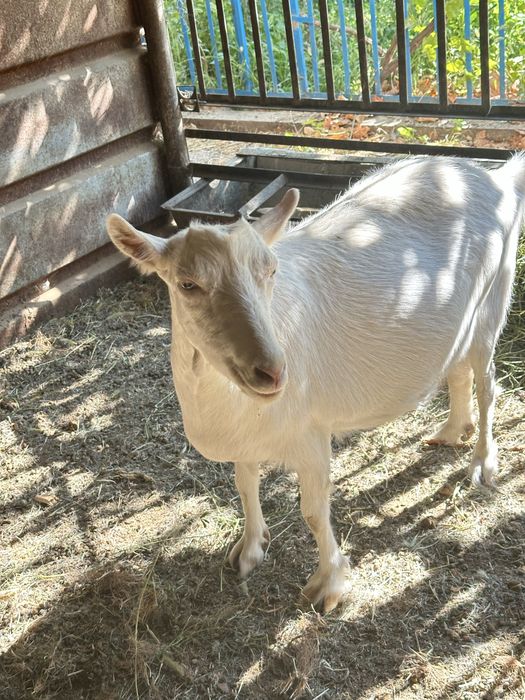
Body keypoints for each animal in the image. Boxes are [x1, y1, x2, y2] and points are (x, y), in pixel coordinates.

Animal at [107, 155, 524, 612]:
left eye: (271, 270)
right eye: (187, 284)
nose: (272, 372)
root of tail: (497, 178)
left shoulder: (310, 434)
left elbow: (312, 510)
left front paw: (329, 585)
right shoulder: (247, 437)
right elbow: (244, 484)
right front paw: (249, 549)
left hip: (493, 300)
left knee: (487, 385)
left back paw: (482, 462)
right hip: (458, 324)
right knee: (457, 369)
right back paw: (451, 431)